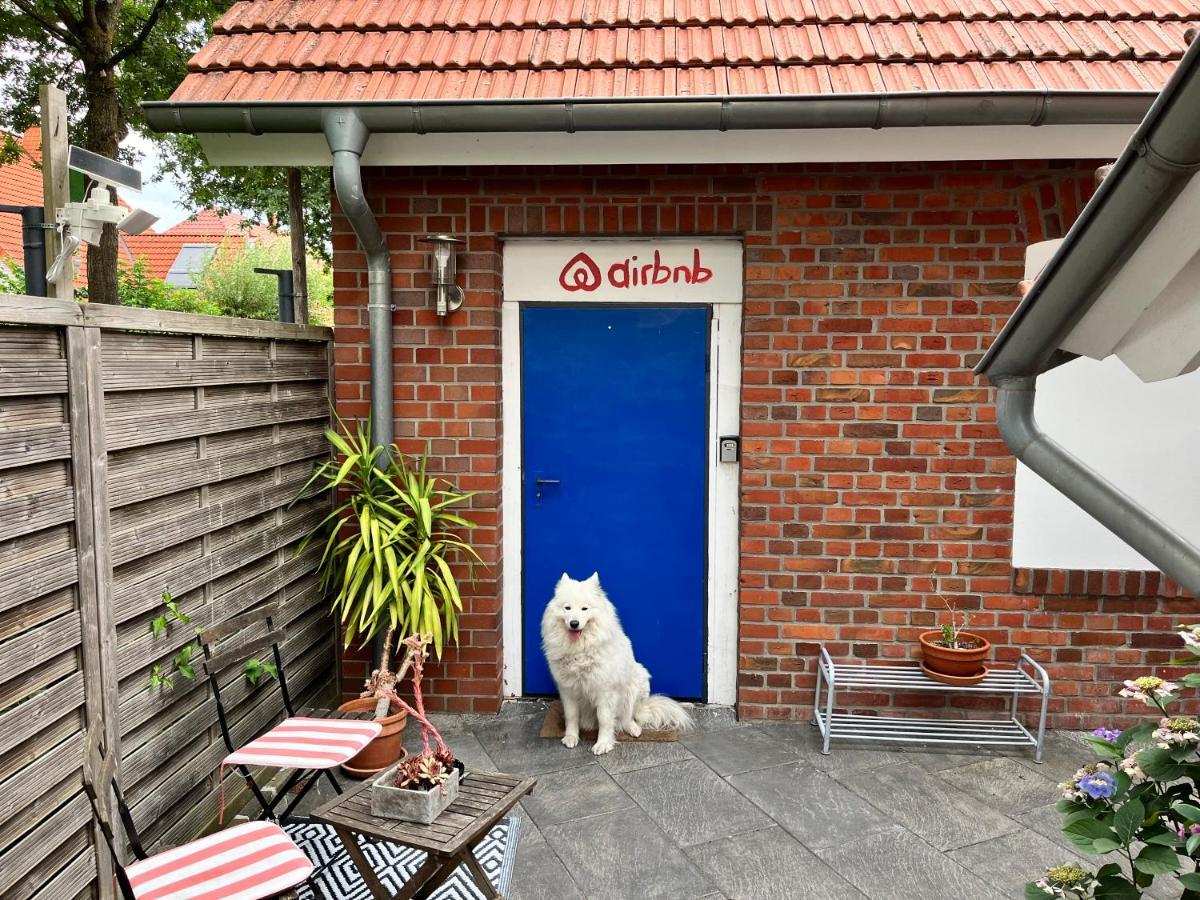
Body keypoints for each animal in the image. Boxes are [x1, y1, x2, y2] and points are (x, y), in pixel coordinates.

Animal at [542, 573, 696, 758]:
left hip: (635, 685)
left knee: (627, 717)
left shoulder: (605, 692)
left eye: (585, 609)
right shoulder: (568, 690)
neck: (581, 650)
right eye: (567, 608)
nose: (574, 623)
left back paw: (633, 729)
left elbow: (605, 719)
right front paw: (571, 737)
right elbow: (572, 716)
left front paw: (603, 744)